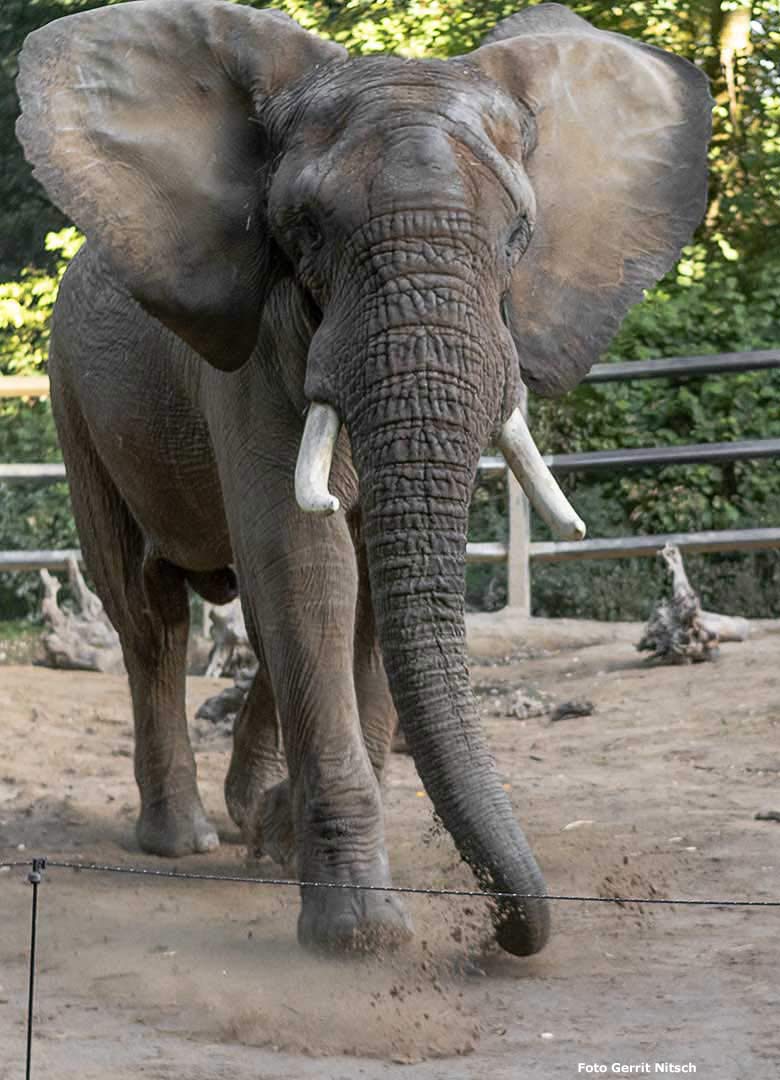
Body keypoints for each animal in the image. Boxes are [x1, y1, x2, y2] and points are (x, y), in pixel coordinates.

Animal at [16, 4, 713, 959]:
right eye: (305, 228)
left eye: (518, 235)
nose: (502, 933)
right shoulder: (256, 346)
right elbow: (305, 563)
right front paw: (361, 935)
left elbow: (365, 587)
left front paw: (286, 847)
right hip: (73, 397)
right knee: (148, 614)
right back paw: (184, 839)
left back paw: (251, 827)